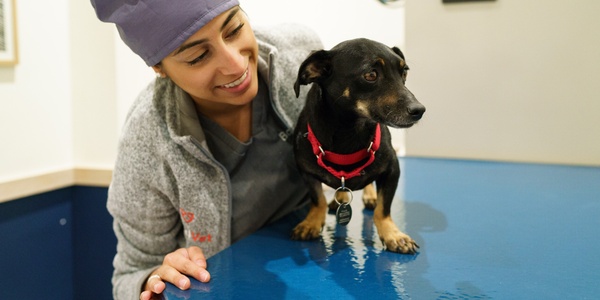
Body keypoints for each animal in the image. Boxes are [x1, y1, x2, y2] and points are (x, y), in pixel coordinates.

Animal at [292, 37, 424, 253]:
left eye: (404, 72)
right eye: (371, 74)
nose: (419, 110)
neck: (350, 133)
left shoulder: (392, 170)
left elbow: (383, 209)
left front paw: (393, 235)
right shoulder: (305, 171)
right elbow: (317, 199)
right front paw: (311, 222)